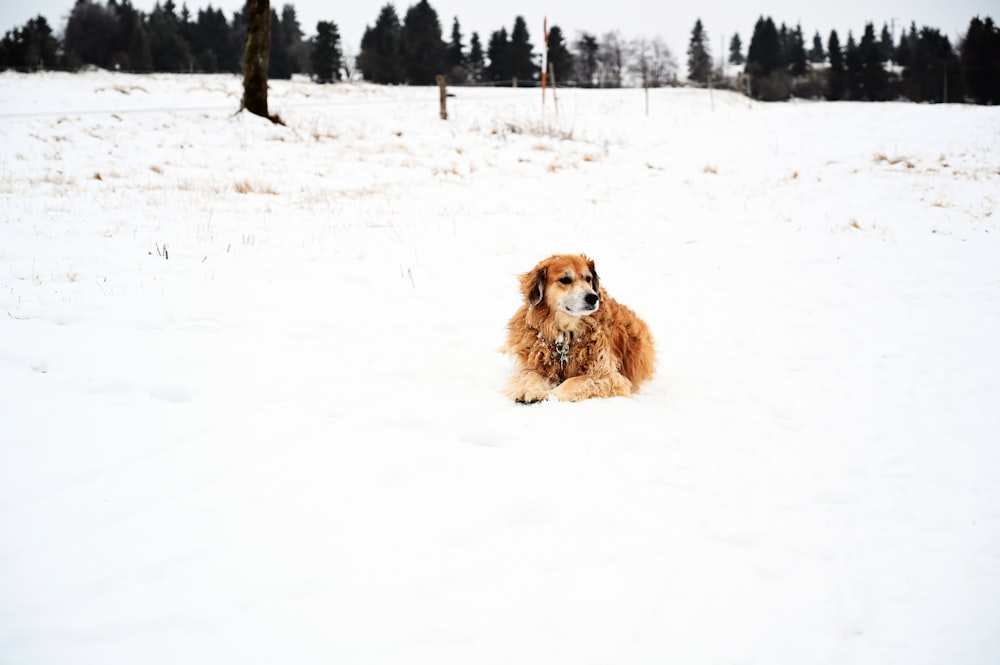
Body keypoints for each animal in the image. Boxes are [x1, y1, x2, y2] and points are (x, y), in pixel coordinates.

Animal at [500, 253, 656, 400]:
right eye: (565, 280)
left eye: (588, 278)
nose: (593, 297)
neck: (564, 335)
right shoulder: (536, 364)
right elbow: (532, 377)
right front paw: (529, 390)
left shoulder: (606, 375)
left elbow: (571, 382)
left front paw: (546, 395)